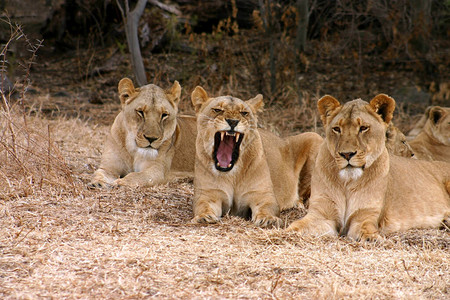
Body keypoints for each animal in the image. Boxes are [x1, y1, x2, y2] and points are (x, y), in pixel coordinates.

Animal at [192, 86, 322, 227]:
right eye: (217, 110)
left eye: (244, 113)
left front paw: (268, 219)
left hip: (314, 137)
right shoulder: (208, 194)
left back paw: (298, 204)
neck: (233, 175)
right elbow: (203, 205)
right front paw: (203, 217)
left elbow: (267, 207)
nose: (233, 121)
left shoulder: (262, 195)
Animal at [288, 95, 450, 240]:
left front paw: (372, 238)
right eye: (337, 129)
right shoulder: (321, 214)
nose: (347, 154)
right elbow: (296, 226)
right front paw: (284, 234)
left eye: (363, 128)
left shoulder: (365, 215)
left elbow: (366, 229)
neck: (347, 182)